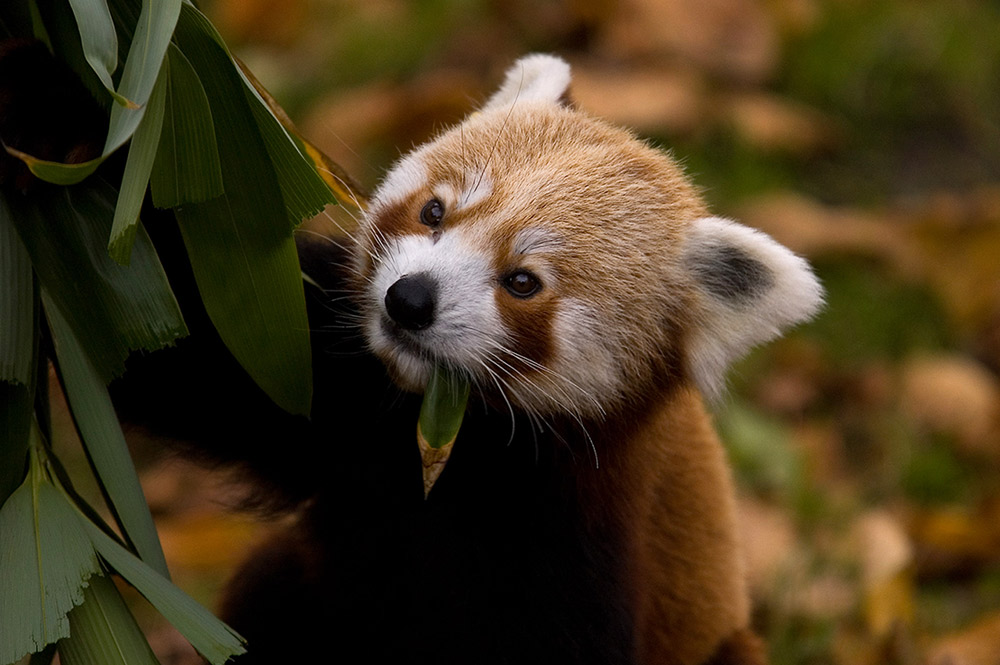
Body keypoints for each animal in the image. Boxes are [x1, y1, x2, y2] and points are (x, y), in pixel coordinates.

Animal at [117, 53, 820, 664]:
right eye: (434, 211)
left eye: (522, 281)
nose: (409, 300)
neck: (463, 456)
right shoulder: (337, 396)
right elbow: (195, 348)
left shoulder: (583, 546)